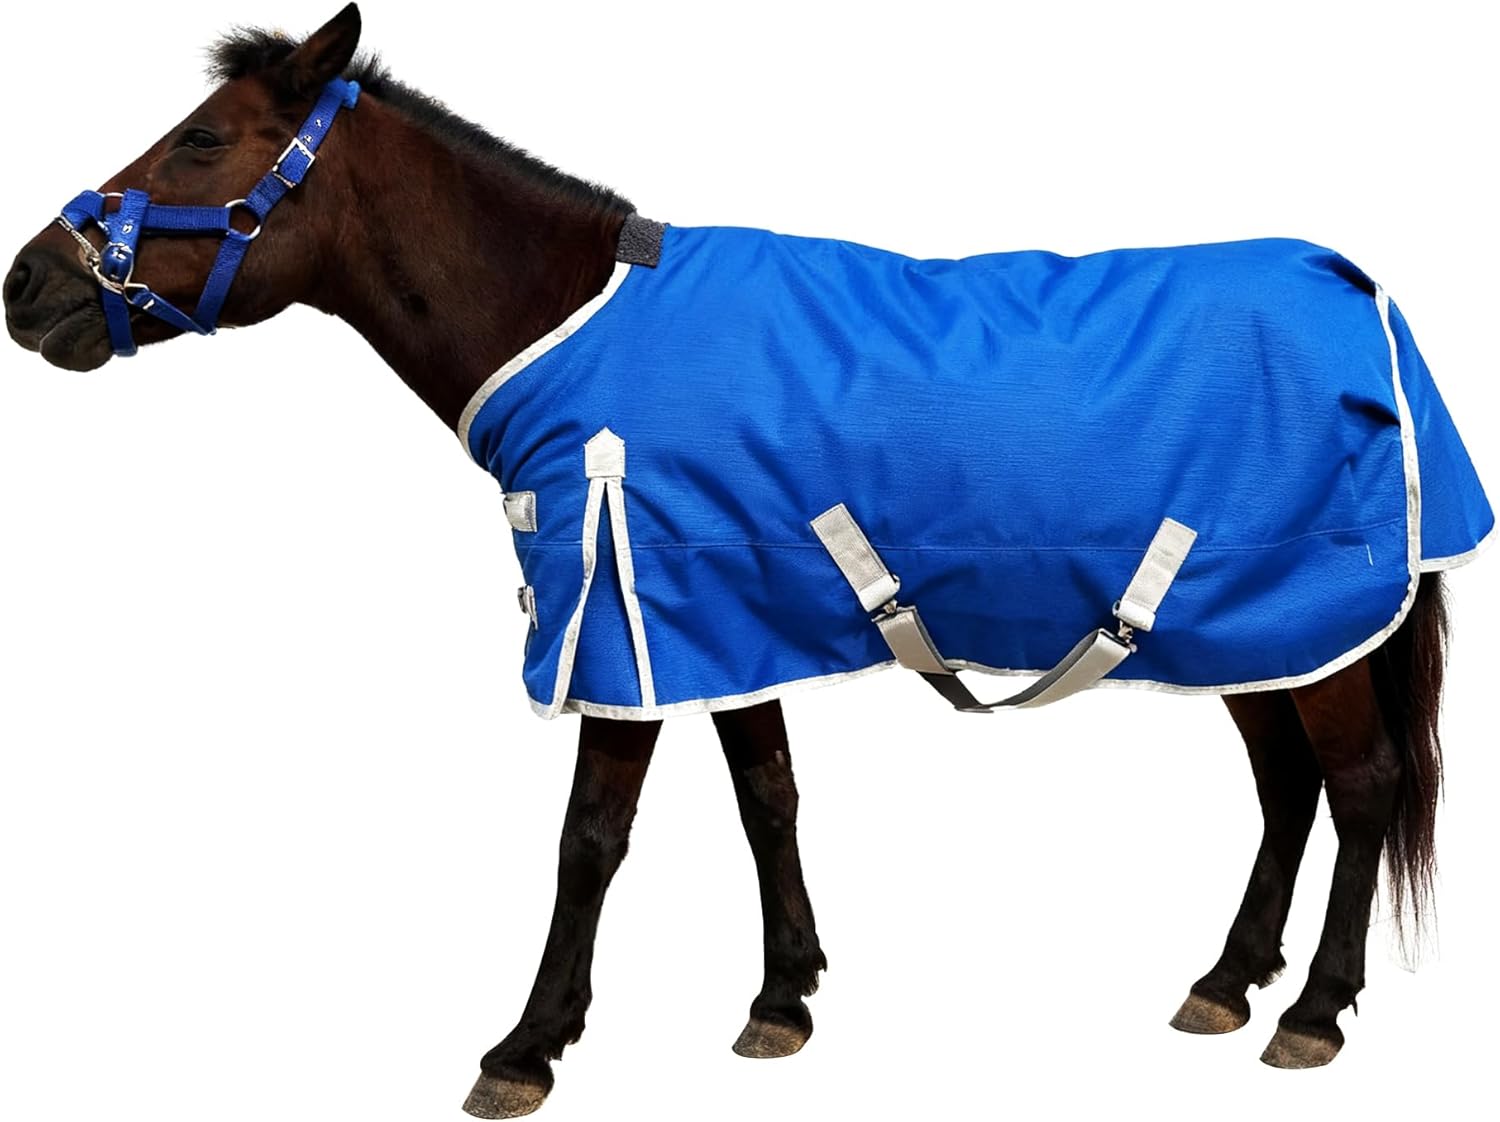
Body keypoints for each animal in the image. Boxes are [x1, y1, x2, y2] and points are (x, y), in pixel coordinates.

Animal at [4, 6, 1490, 1118]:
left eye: (202, 141)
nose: (30, 289)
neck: (574, 324)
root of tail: (1358, 295)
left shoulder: (624, 627)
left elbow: (590, 838)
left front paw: (527, 1045)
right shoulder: (718, 616)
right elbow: (767, 798)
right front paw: (785, 997)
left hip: (1304, 621)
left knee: (1360, 787)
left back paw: (1312, 1011)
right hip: (1255, 630)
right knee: (1291, 788)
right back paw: (1229, 979)